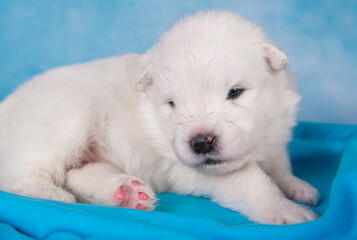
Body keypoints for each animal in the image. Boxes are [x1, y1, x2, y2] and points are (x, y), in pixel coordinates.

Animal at [0, 10, 320, 225]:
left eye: (235, 92)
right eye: (172, 103)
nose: (201, 142)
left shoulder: (275, 135)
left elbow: (279, 164)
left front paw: (298, 186)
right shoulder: (188, 168)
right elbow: (254, 182)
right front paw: (287, 211)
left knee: (78, 171)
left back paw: (124, 192)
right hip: (64, 119)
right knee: (18, 173)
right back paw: (52, 195)